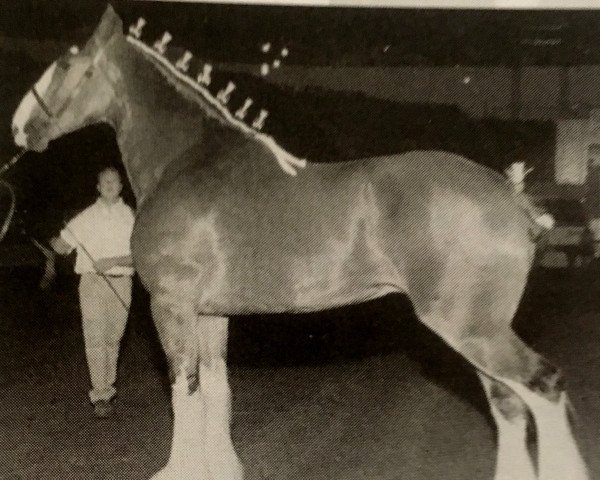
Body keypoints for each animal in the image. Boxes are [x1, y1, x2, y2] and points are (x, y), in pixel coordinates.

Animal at [11, 4, 588, 480]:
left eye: (65, 65)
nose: (19, 127)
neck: (187, 160)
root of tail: (511, 195)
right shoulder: (210, 314)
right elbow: (216, 390)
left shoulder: (171, 306)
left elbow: (184, 391)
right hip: (479, 328)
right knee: (509, 405)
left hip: (470, 326)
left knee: (542, 390)